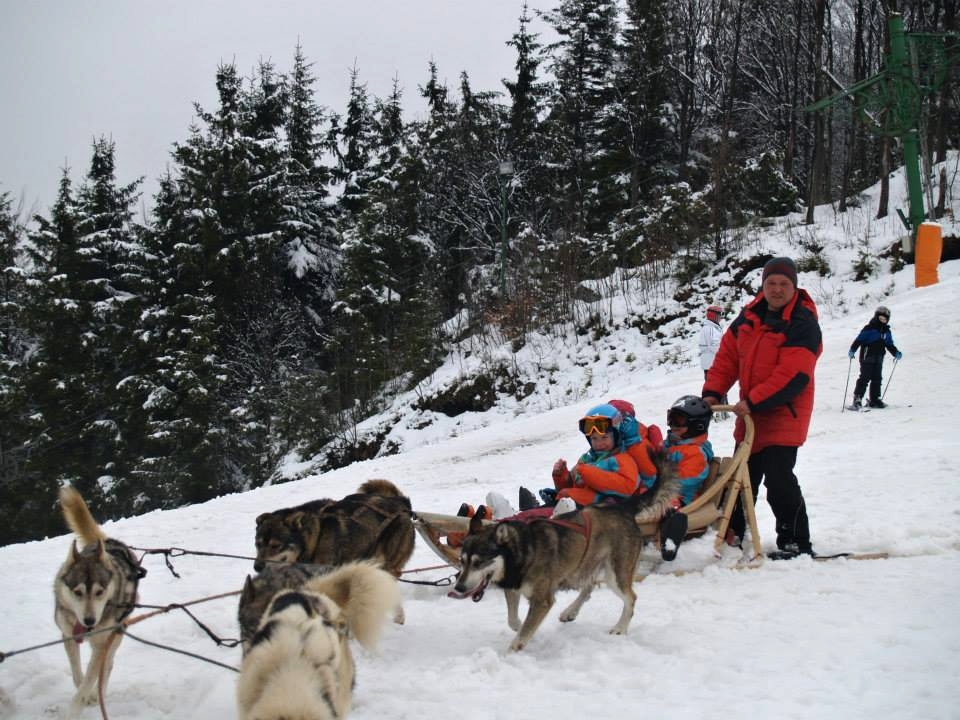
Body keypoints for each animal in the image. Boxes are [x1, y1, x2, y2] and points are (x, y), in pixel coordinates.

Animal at [53, 486, 146, 709]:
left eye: (100, 591)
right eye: (77, 592)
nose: (89, 620)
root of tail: (108, 542)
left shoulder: (101, 645)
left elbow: (88, 682)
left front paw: (80, 703)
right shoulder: (68, 636)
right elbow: (78, 677)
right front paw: (84, 693)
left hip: (116, 635)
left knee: (108, 666)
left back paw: (99, 693)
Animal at [253, 478, 415, 579]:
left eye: (275, 546)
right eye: (257, 544)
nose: (257, 567)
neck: (316, 536)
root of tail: (402, 502)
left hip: (385, 560)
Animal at [449, 455, 679, 651]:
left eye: (479, 562)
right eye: (462, 561)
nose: (459, 587)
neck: (524, 552)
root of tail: (622, 508)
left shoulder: (542, 600)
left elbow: (521, 635)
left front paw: (511, 651)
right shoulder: (513, 589)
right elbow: (513, 621)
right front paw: (521, 627)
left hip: (615, 573)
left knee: (630, 598)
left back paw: (620, 627)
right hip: (583, 566)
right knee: (588, 587)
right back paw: (571, 611)